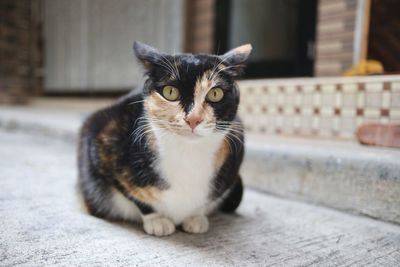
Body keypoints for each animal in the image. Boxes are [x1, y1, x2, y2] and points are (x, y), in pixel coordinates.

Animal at [78, 41, 252, 237]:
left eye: (216, 94)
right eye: (170, 92)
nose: (193, 119)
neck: (187, 155)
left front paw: (196, 218)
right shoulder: (100, 142)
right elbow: (135, 196)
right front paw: (157, 221)